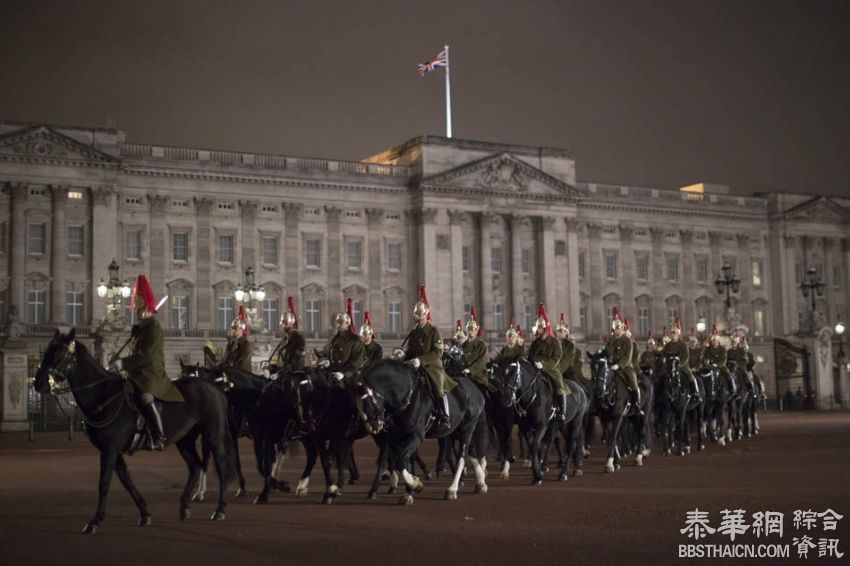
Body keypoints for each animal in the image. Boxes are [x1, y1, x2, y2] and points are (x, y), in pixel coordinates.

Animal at [34, 330, 235, 536]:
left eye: (59, 354)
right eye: (47, 351)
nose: (38, 384)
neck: (104, 396)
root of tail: (216, 390)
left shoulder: (109, 451)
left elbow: (104, 484)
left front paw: (95, 521)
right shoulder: (113, 451)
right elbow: (127, 481)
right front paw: (144, 513)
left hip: (213, 436)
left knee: (221, 469)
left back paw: (219, 510)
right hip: (185, 440)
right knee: (195, 467)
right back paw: (185, 506)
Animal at [354, 360, 486, 506]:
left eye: (366, 405)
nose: (373, 428)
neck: (406, 397)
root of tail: (475, 389)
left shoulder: (415, 437)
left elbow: (401, 461)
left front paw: (415, 485)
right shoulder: (397, 438)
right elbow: (404, 462)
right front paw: (408, 492)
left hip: (467, 428)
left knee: (462, 456)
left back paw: (452, 489)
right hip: (454, 431)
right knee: (471, 451)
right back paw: (481, 482)